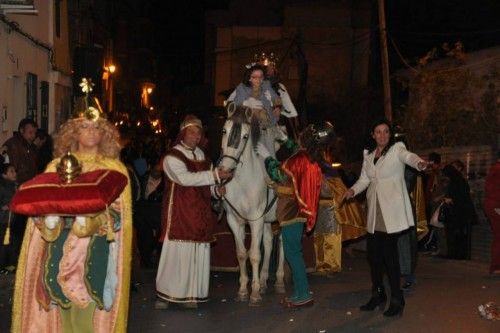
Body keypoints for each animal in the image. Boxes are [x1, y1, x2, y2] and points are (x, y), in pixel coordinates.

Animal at [219, 105, 286, 304]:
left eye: (245, 136)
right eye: (224, 130)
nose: (225, 169)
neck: (243, 182)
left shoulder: (255, 220)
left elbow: (255, 254)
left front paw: (254, 293)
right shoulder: (235, 220)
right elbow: (242, 253)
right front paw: (243, 290)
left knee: (282, 243)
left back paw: (279, 281)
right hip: (267, 221)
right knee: (270, 242)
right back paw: (264, 281)